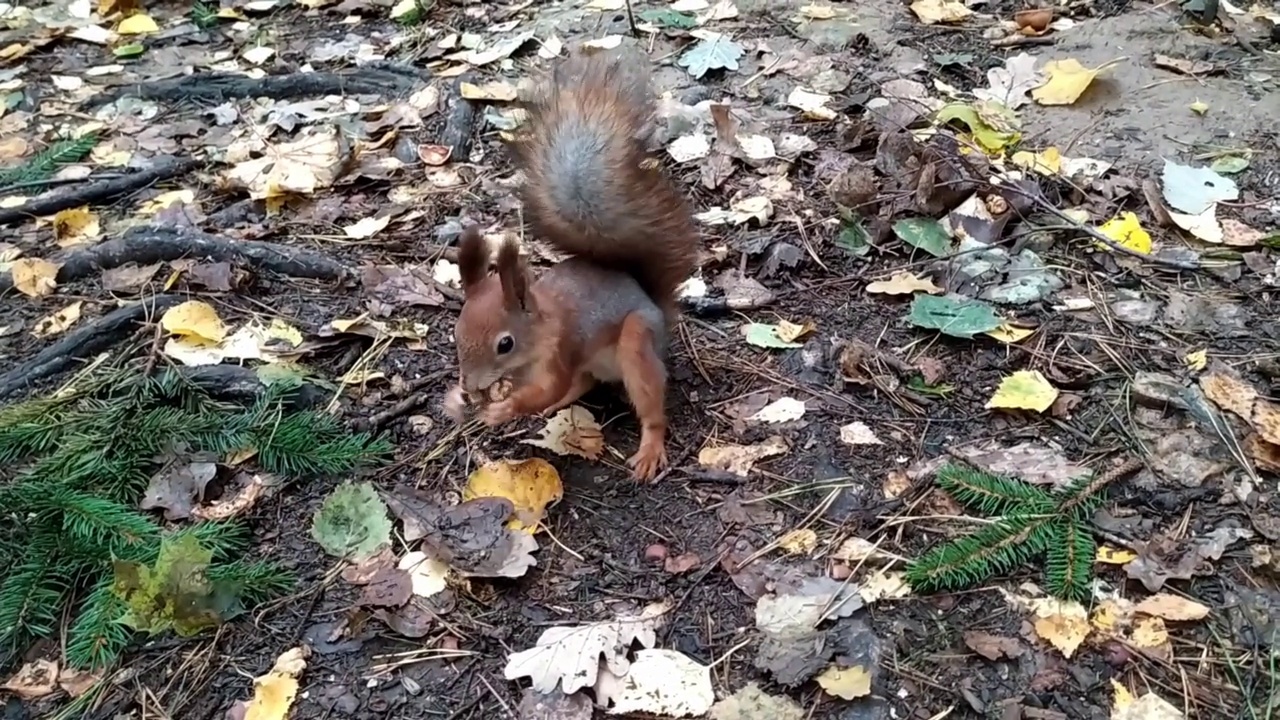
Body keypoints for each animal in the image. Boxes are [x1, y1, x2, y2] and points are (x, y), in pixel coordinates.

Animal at [442, 50, 701, 481]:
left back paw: (649, 449)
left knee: (648, 404)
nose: (472, 386)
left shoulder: (561, 350)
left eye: (505, 343)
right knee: (583, 382)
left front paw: (502, 409)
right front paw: (459, 400)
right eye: (456, 334)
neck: (538, 332)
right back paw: (559, 405)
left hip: (638, 342)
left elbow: (546, 386)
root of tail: (652, 302)